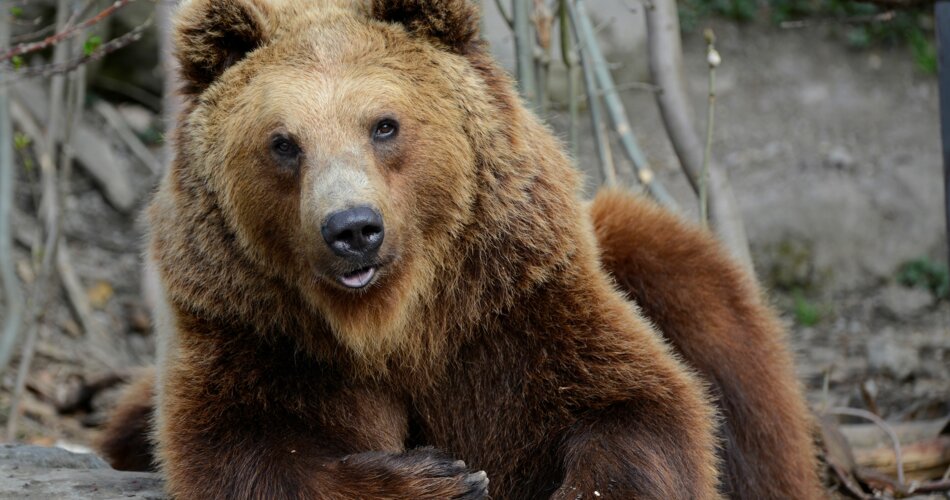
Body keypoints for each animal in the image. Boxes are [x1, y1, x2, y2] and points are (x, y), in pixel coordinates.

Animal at [97, 0, 823, 498]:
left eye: (383, 125)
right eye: (283, 142)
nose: (352, 228)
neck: (394, 322)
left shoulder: (511, 307)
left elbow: (637, 409)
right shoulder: (259, 336)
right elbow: (250, 452)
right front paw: (440, 475)